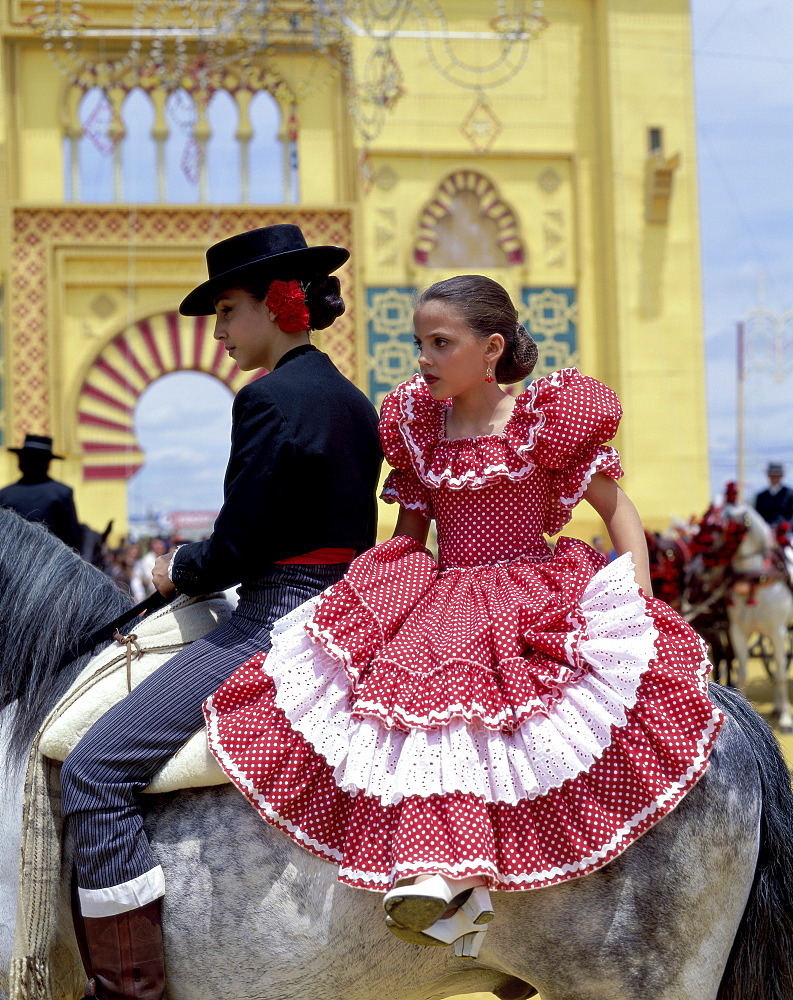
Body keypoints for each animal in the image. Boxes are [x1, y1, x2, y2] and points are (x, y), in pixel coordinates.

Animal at [724, 504, 792, 732]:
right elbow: (742, 673)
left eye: (723, 527)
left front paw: (786, 719)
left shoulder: (779, 632)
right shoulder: (737, 632)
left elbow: (781, 676)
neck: (754, 581)